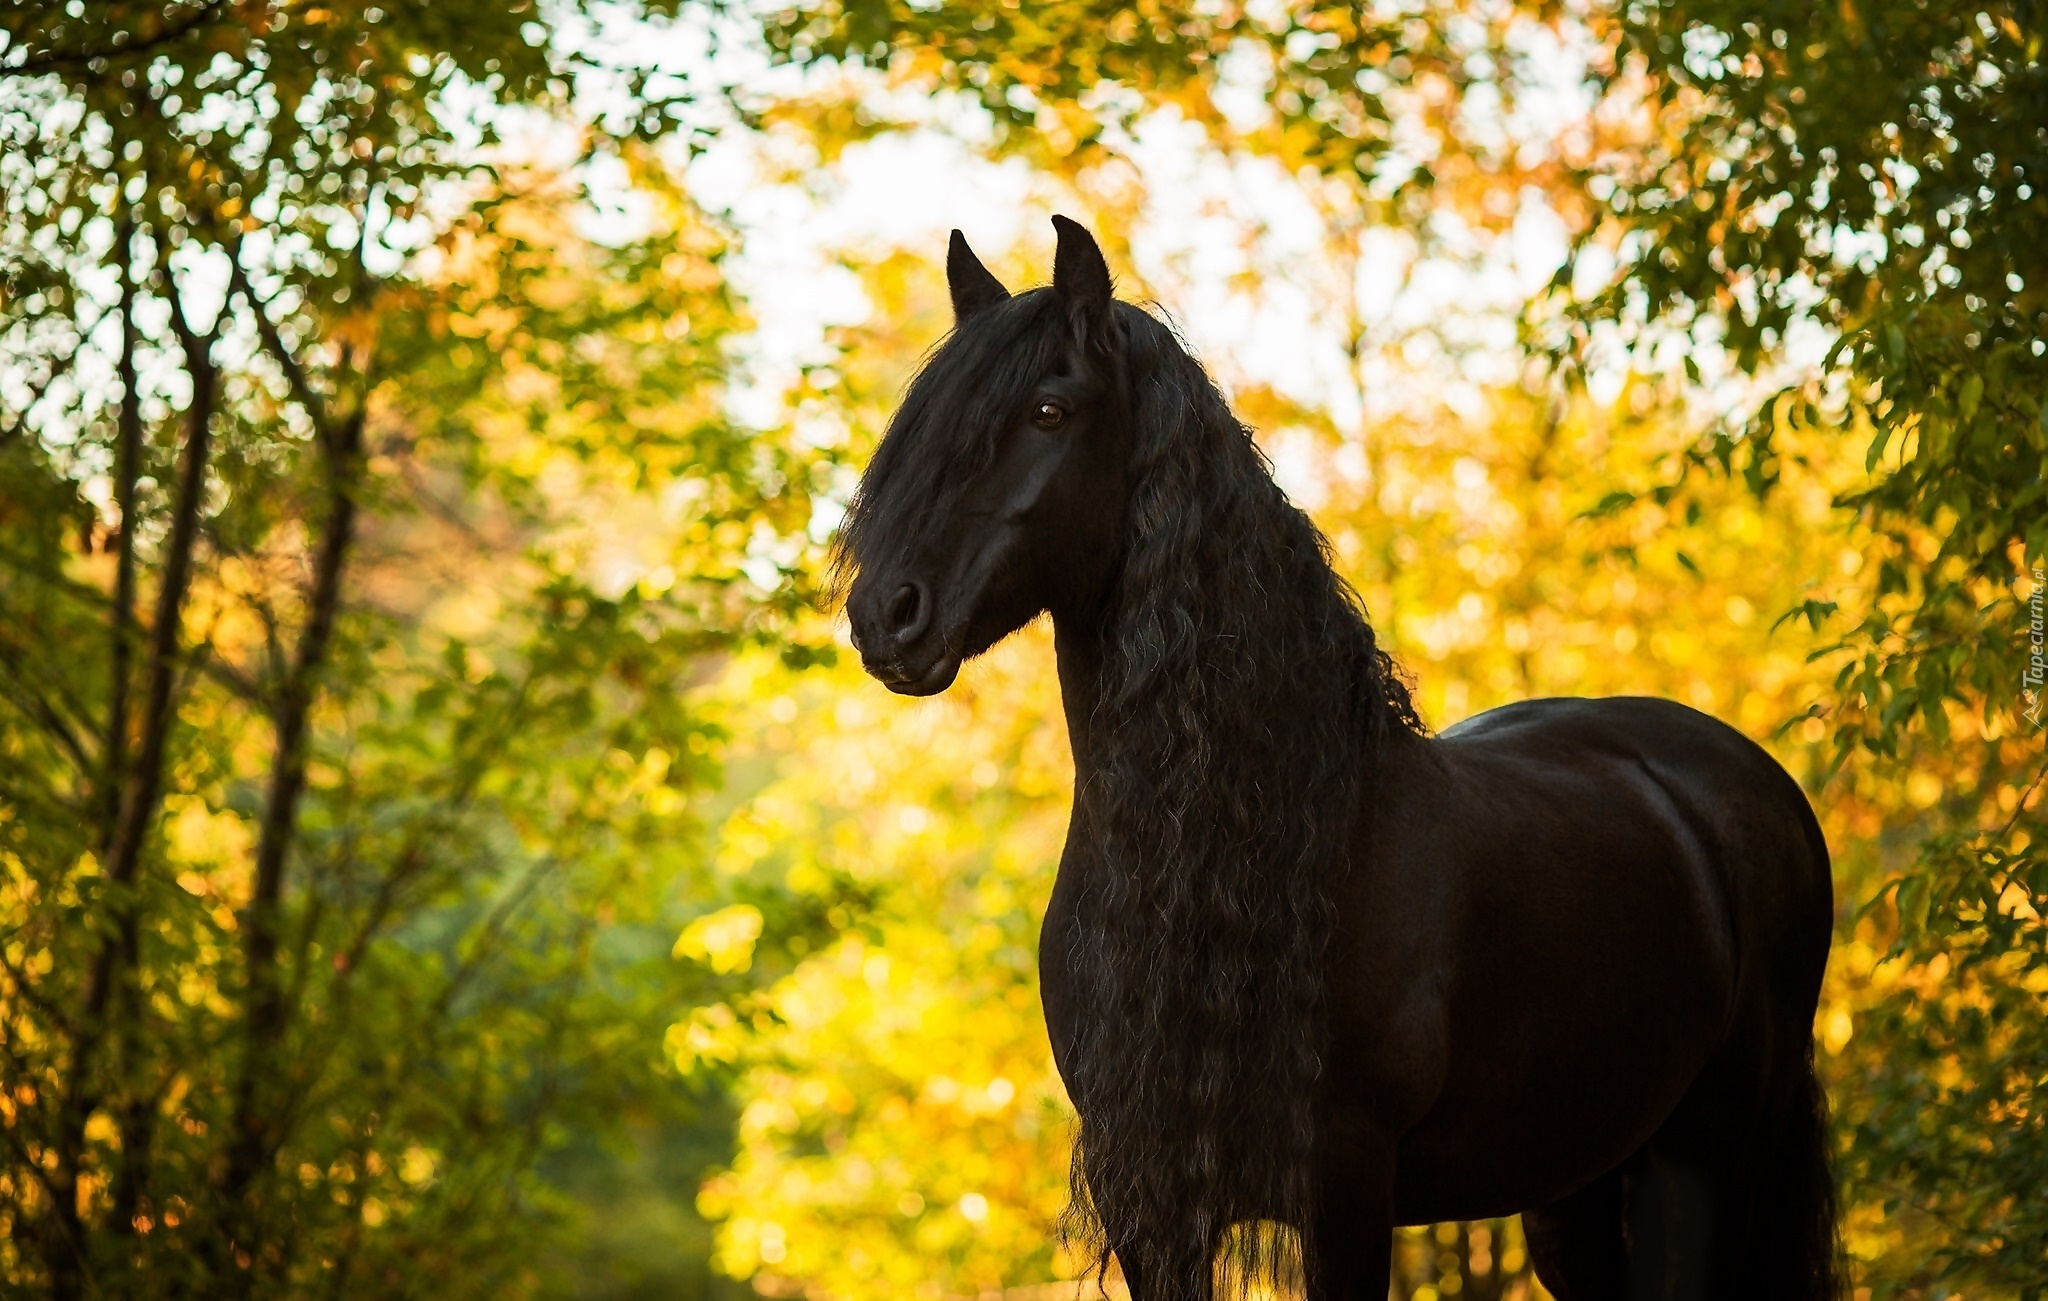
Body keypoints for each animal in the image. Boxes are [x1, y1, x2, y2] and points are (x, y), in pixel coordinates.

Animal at [831, 219, 1843, 1294]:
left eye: (1050, 410)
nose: (887, 614)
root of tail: (1747, 782)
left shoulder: (1345, 1181)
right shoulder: (1150, 1203)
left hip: (1701, 1166)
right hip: (1575, 1184)